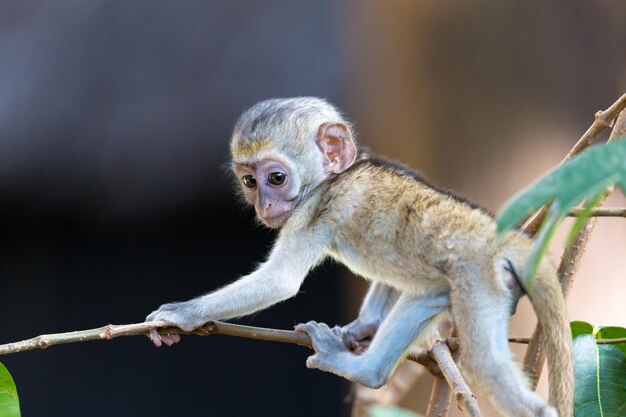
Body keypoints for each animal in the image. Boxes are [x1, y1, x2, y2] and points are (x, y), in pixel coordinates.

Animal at [146, 96, 572, 416]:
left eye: (276, 178)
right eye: (250, 181)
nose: (265, 205)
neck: (331, 179)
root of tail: (505, 238)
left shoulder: (310, 212)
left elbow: (280, 282)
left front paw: (181, 314)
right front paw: (363, 326)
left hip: (478, 275)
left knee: (487, 366)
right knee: (430, 293)